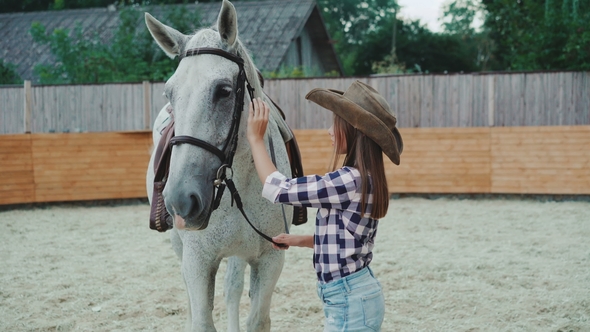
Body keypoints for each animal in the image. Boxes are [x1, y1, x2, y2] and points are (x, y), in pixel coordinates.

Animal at [146, 1, 298, 330]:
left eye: (224, 91)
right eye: (169, 93)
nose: (181, 200)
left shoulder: (270, 260)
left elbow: (256, 318)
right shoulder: (197, 262)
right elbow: (202, 318)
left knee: (232, 289)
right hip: (179, 245)